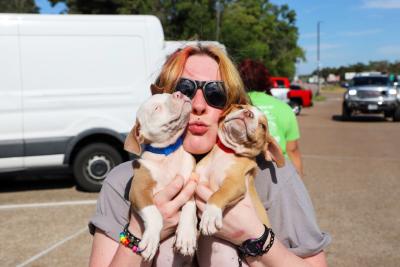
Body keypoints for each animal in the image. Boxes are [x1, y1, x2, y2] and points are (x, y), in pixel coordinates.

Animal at [123, 92, 195, 262]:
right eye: (156, 108)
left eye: (168, 94)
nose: (179, 93)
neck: (167, 152)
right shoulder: (138, 190)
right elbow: (153, 213)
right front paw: (150, 239)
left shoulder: (189, 185)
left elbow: (189, 207)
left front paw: (187, 236)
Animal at [195, 103, 284, 236]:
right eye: (240, 107)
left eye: (263, 126)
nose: (248, 113)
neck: (227, 152)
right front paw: (185, 233)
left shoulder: (235, 184)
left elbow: (218, 194)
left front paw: (210, 215)